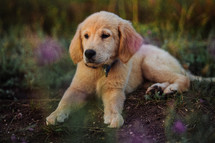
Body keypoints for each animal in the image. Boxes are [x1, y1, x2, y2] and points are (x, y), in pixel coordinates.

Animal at [46, 10, 214, 127]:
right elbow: (65, 100)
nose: (88, 53)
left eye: (105, 35)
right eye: (85, 36)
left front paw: (113, 116)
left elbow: (113, 103)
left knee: (183, 78)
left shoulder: (114, 89)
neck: (100, 69)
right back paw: (157, 88)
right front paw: (55, 114)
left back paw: (172, 89)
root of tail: (175, 60)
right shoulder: (77, 88)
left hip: (150, 64)